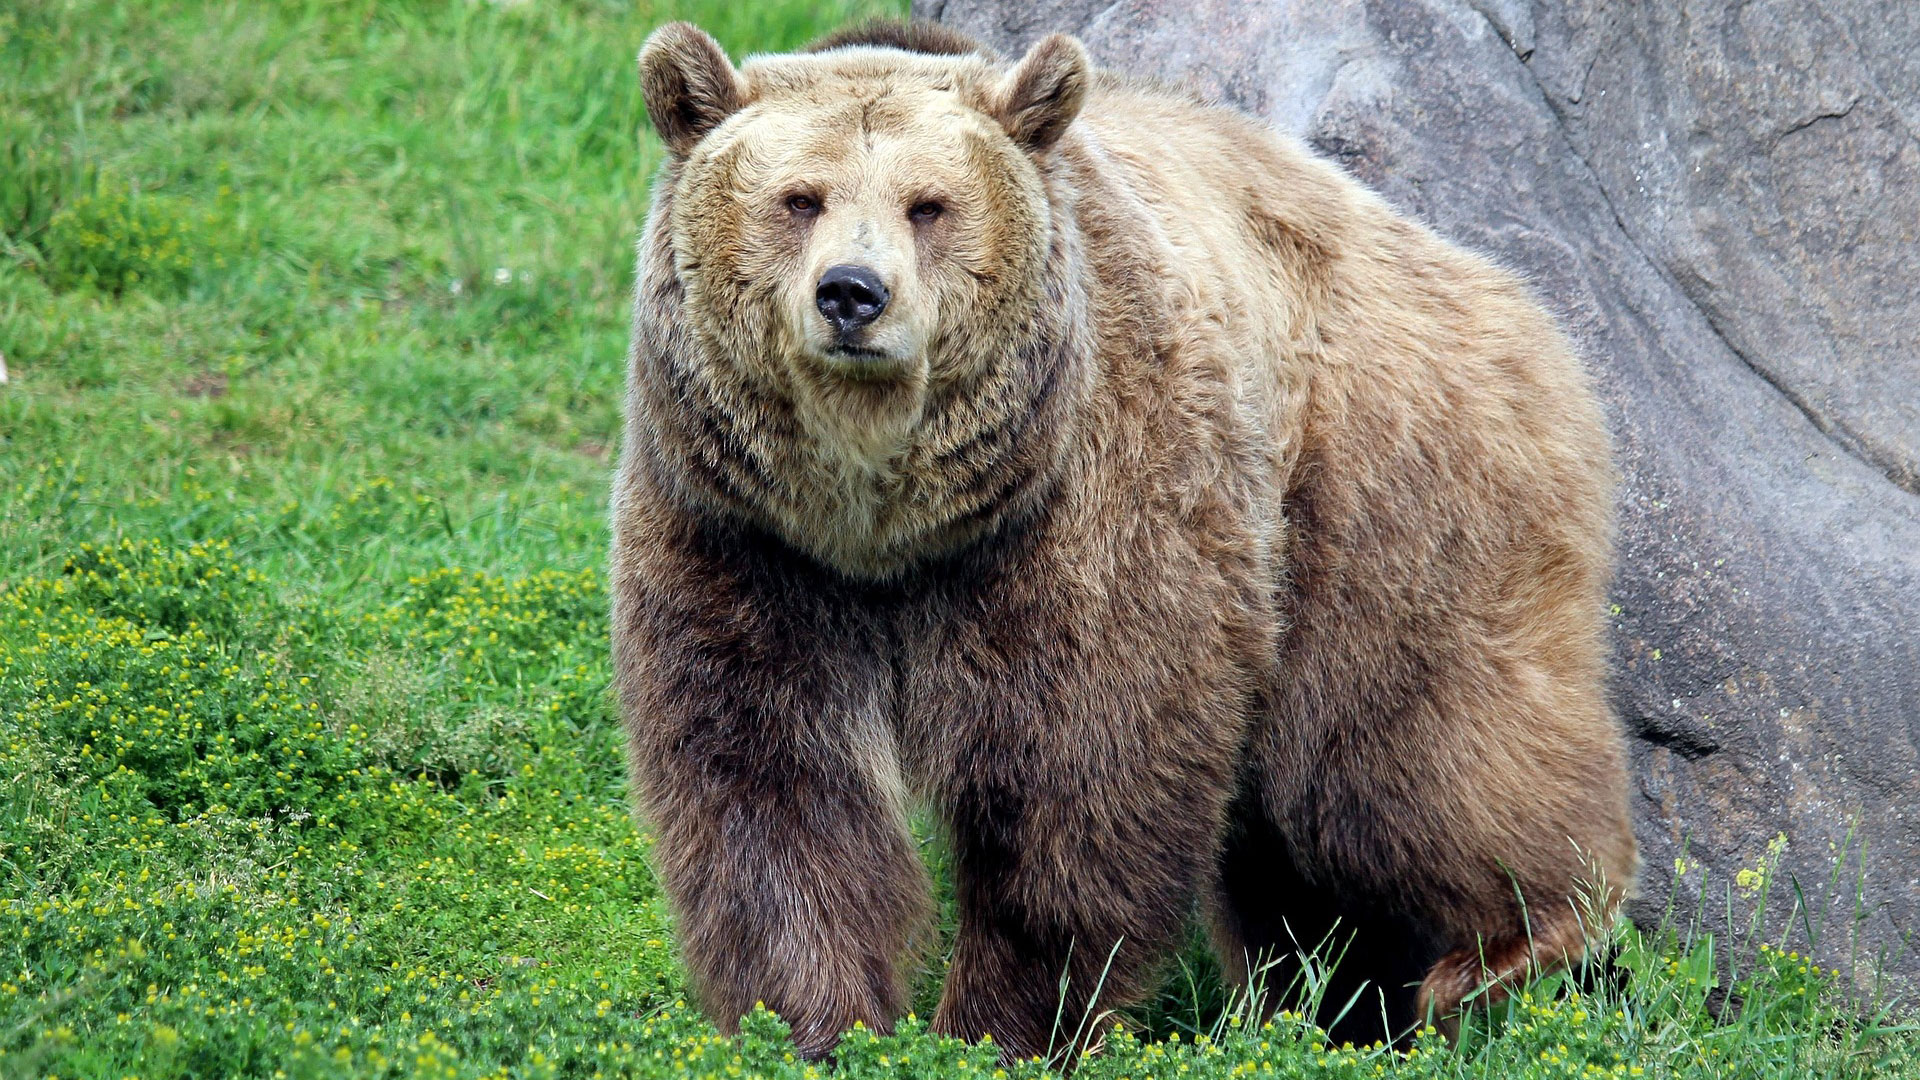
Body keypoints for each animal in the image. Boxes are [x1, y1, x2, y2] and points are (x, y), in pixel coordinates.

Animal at [611, 17, 1638, 1061]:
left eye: (928, 205)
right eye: (800, 198)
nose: (852, 294)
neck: (886, 526)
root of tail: (1501, 289)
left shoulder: (1088, 506)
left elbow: (1084, 771)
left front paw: (1008, 1026)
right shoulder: (744, 541)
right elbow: (770, 785)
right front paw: (816, 1024)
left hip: (1379, 482)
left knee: (1398, 751)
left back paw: (1512, 944)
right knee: (1292, 845)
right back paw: (1338, 1004)